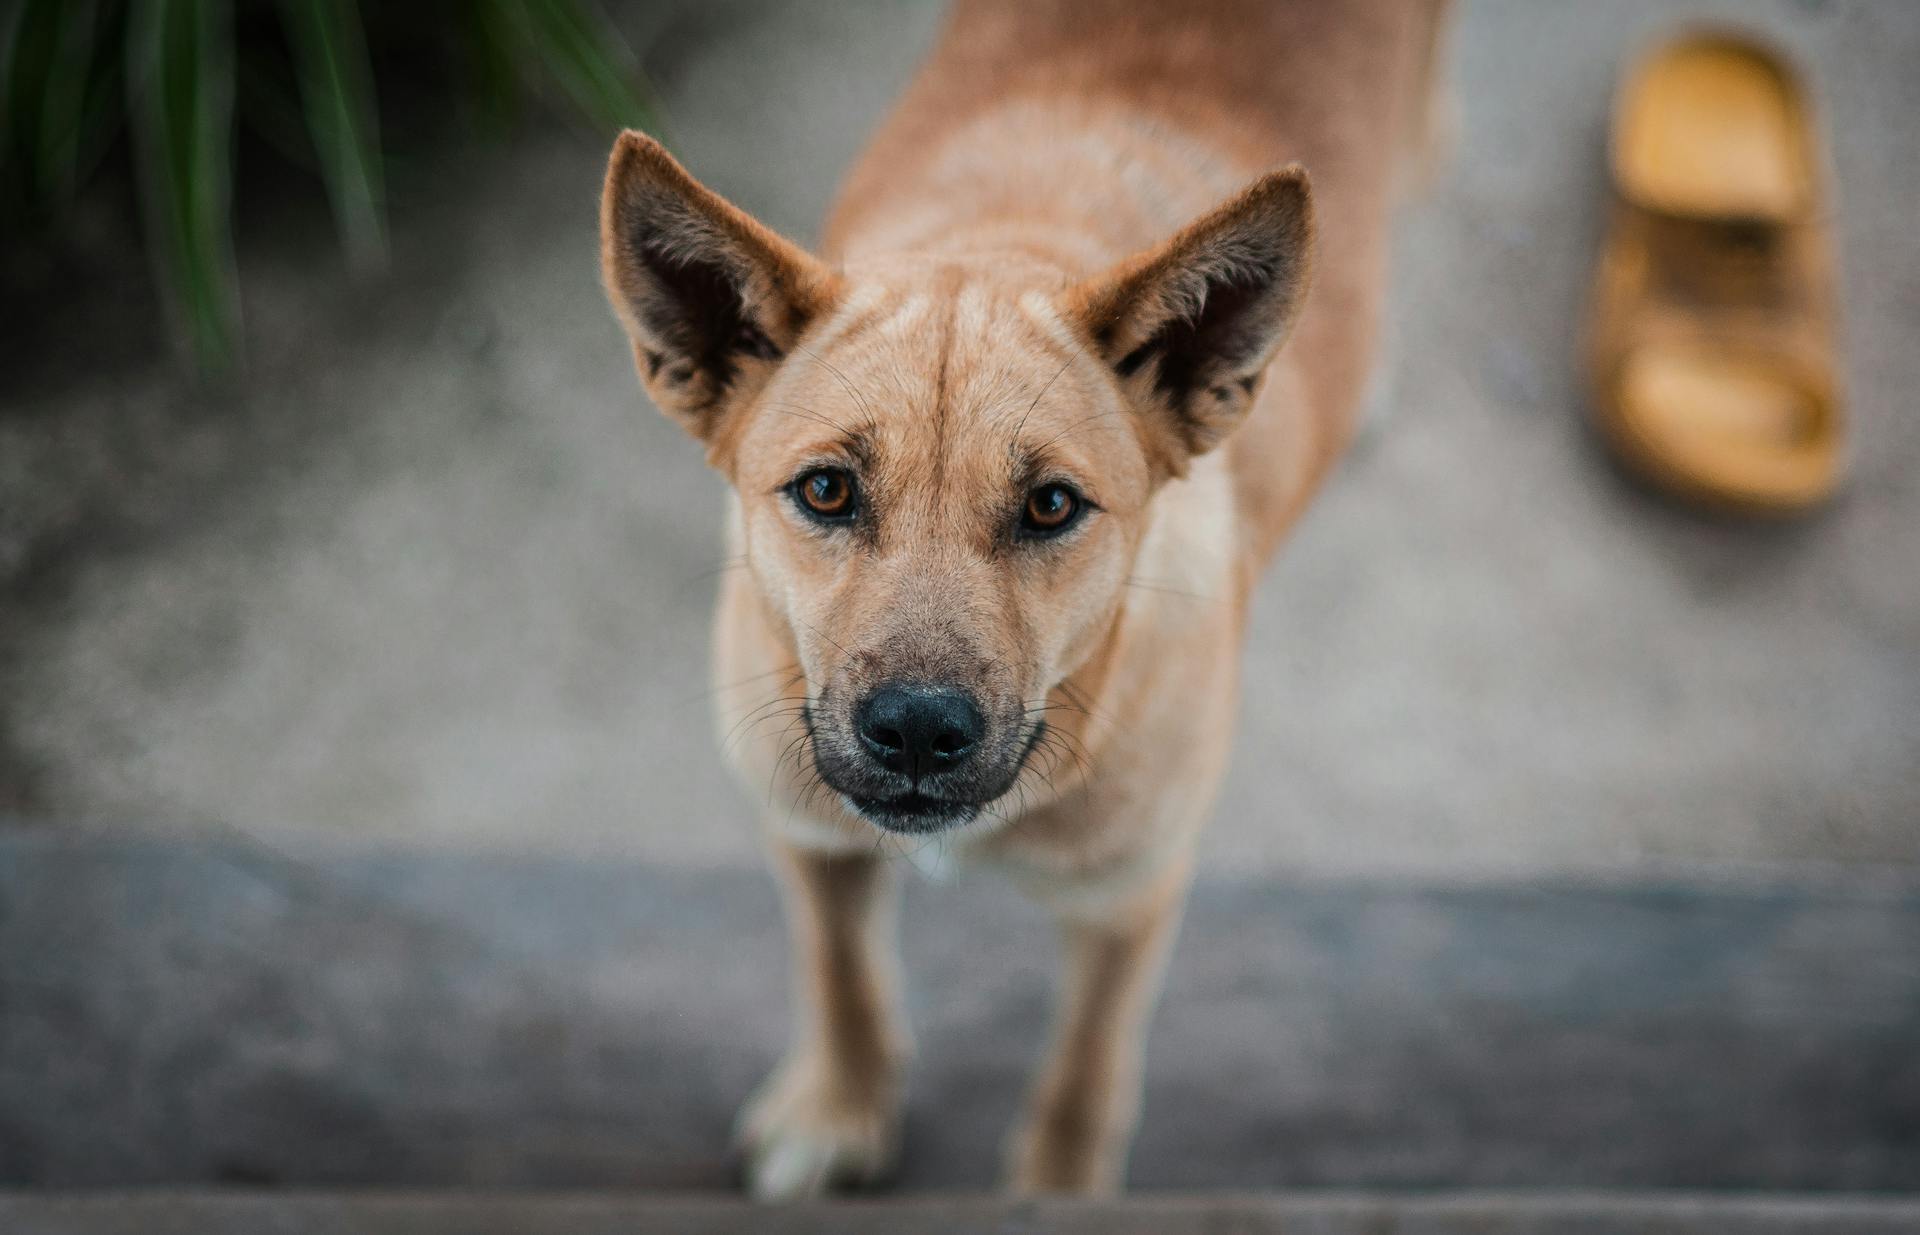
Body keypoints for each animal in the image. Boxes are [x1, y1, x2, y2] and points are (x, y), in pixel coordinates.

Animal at [591, 0, 1443, 1198]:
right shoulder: (805, 832)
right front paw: (842, 1104)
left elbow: (1087, 1059)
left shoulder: (1131, 898)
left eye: (1049, 505)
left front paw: (1059, 1182)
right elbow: (839, 972)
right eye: (825, 490)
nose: (915, 731)